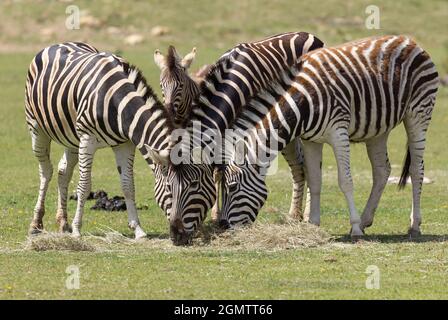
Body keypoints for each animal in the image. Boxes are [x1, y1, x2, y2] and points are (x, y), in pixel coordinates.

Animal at [25, 42, 172, 239]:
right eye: (171, 188)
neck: (117, 101)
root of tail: (58, 43)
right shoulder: (88, 139)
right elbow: (84, 185)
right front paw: (77, 229)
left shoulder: (124, 144)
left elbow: (128, 185)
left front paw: (138, 229)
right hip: (36, 127)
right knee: (46, 171)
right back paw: (36, 224)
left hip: (72, 137)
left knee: (63, 172)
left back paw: (63, 223)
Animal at [219, 35, 440, 238]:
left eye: (232, 187)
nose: (223, 227)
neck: (303, 103)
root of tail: (408, 40)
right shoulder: (310, 140)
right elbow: (315, 179)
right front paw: (314, 223)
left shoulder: (338, 132)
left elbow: (345, 181)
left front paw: (355, 228)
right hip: (379, 128)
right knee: (381, 170)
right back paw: (367, 219)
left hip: (419, 112)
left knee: (416, 169)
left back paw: (413, 225)